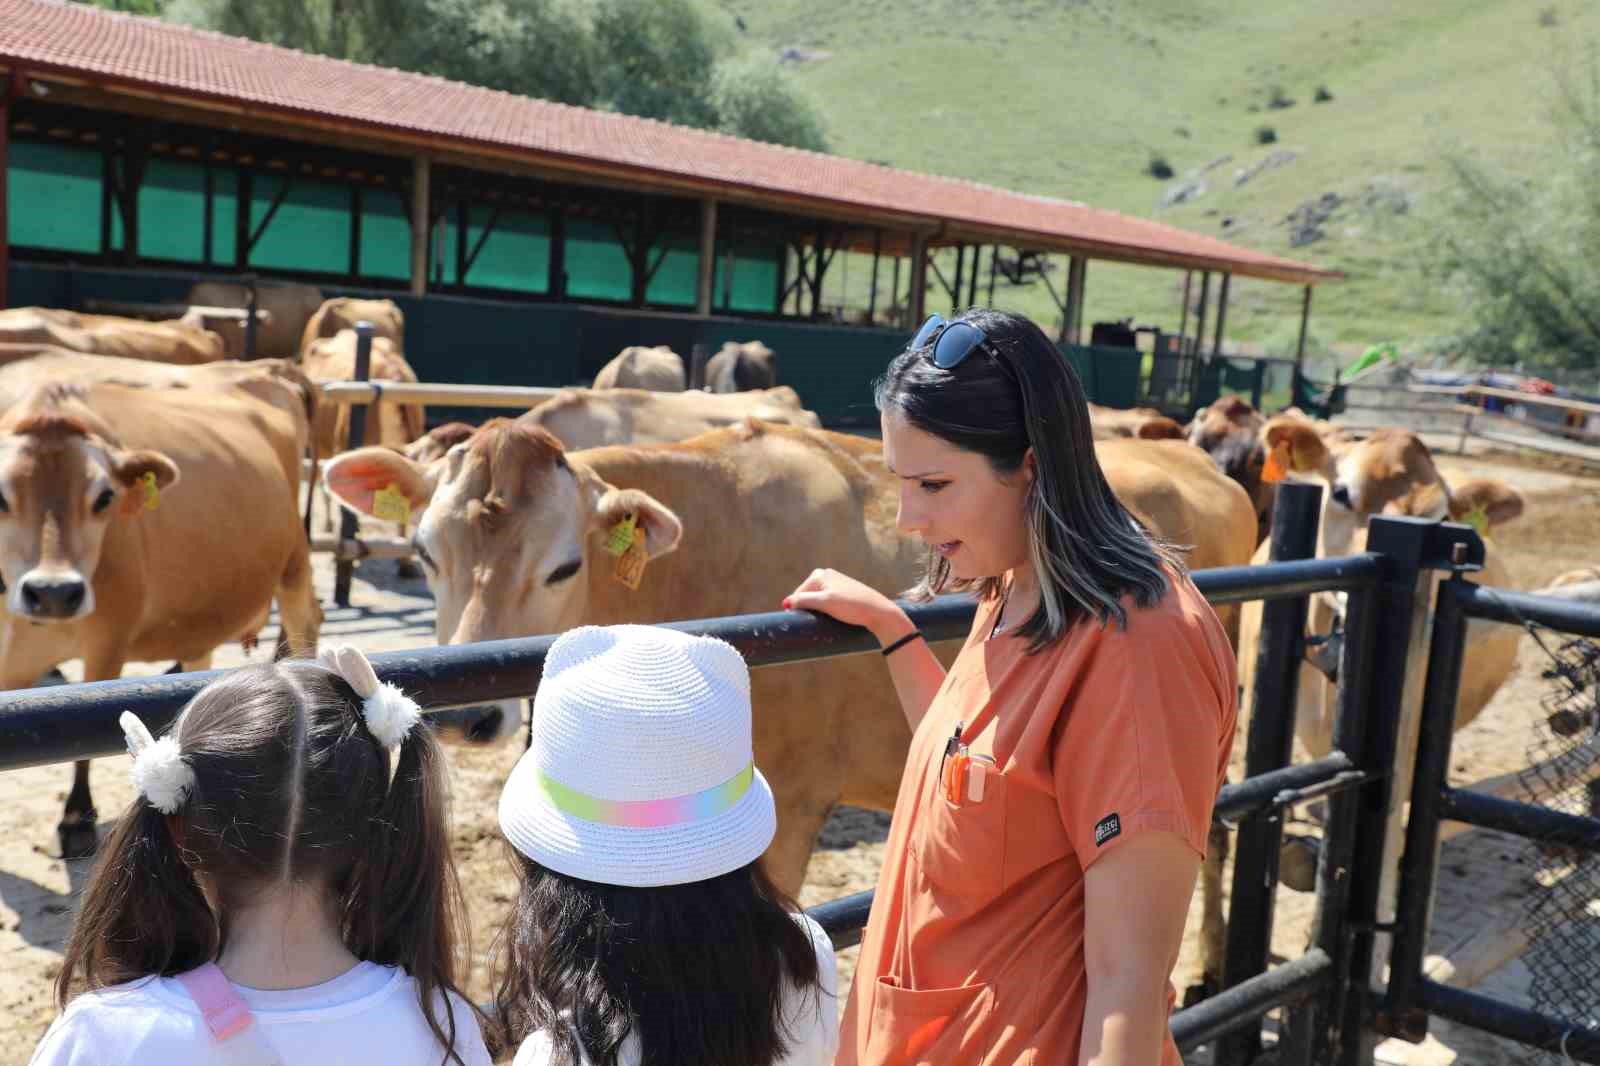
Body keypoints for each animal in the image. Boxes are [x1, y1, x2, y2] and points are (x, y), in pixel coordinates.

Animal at [0, 382, 324, 857]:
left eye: (104, 498)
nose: (54, 592)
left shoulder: (108, 642)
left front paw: (77, 818)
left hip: (294, 564)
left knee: (307, 623)